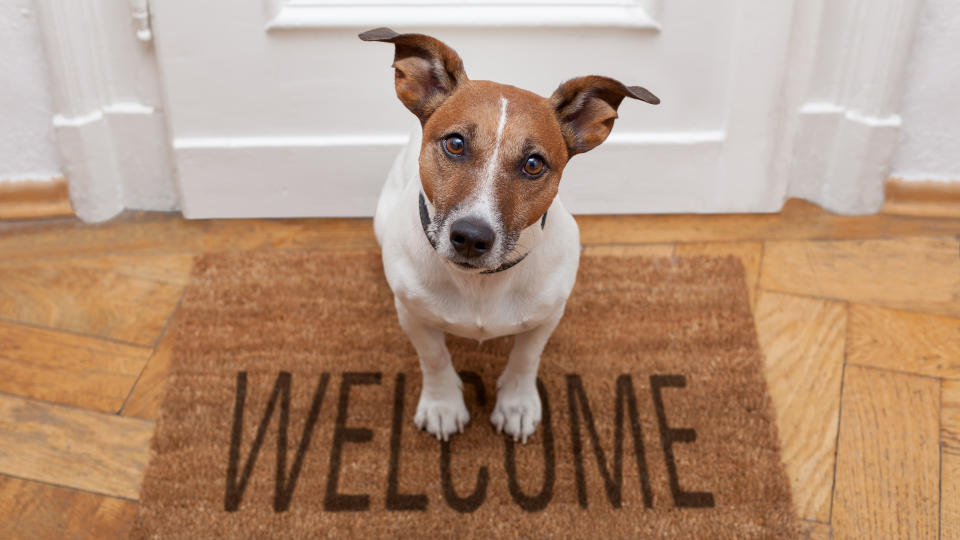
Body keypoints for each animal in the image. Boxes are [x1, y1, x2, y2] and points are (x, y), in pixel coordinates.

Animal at [362, 28, 660, 442]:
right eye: (455, 143)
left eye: (533, 164)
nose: (471, 237)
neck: (481, 283)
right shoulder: (413, 315)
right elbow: (434, 357)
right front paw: (442, 404)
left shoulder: (548, 316)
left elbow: (525, 358)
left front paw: (516, 405)